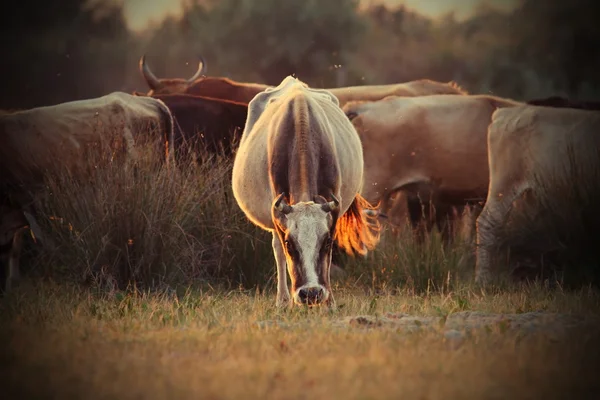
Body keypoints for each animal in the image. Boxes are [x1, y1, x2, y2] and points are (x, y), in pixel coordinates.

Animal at [231, 75, 380, 308]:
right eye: (290, 243)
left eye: (326, 242)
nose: (311, 293)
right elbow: (281, 252)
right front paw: (288, 301)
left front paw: (330, 302)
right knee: (276, 249)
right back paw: (283, 300)